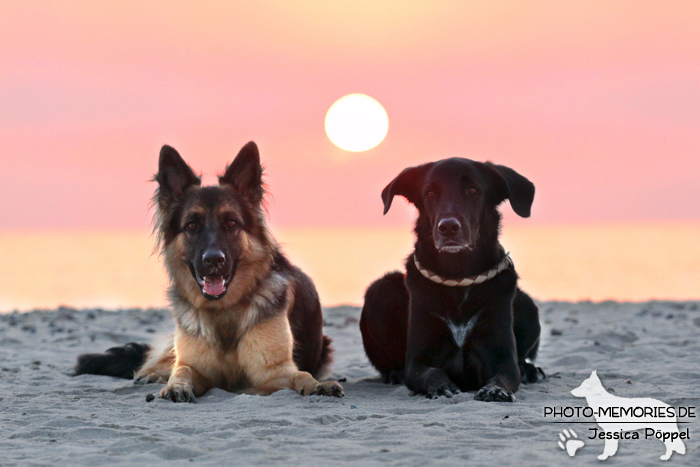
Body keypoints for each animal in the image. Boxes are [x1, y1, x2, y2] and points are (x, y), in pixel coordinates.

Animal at [76, 143, 344, 402]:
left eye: (232, 224)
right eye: (192, 226)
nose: (213, 260)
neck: (223, 310)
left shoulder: (274, 371)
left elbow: (302, 375)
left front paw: (318, 385)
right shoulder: (195, 367)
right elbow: (182, 370)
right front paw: (174, 386)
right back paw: (152, 374)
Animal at [358, 158, 544, 402]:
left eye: (473, 190)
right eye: (430, 193)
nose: (448, 227)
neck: (458, 276)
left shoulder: (502, 359)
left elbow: (504, 375)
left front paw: (495, 390)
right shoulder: (418, 361)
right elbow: (432, 373)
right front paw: (442, 387)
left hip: (526, 303)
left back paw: (531, 370)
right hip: (382, 289)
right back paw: (394, 374)